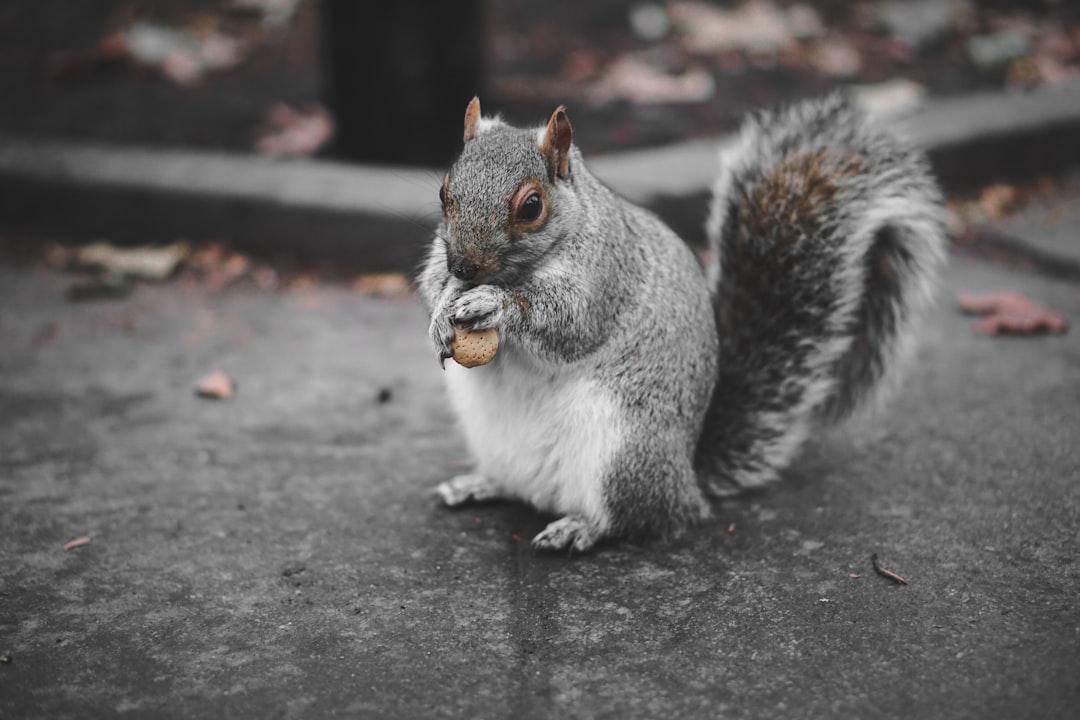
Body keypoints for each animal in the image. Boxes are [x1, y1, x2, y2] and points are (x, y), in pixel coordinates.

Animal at [416, 92, 941, 557]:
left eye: (531, 206)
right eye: (443, 192)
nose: (464, 266)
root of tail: (687, 478)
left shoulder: (607, 275)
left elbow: (570, 324)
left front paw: (496, 304)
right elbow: (431, 283)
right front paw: (442, 310)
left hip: (623, 452)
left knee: (639, 518)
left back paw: (581, 527)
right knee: (519, 486)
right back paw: (477, 484)